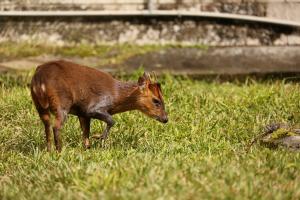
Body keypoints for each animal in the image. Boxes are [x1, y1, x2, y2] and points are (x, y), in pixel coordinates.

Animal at [31, 59, 168, 152]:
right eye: (156, 100)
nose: (165, 119)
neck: (116, 95)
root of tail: (39, 79)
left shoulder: (82, 112)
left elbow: (86, 132)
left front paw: (88, 148)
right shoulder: (93, 107)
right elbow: (111, 121)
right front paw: (99, 138)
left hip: (39, 105)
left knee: (47, 125)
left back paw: (49, 150)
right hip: (62, 103)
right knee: (56, 126)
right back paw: (59, 151)